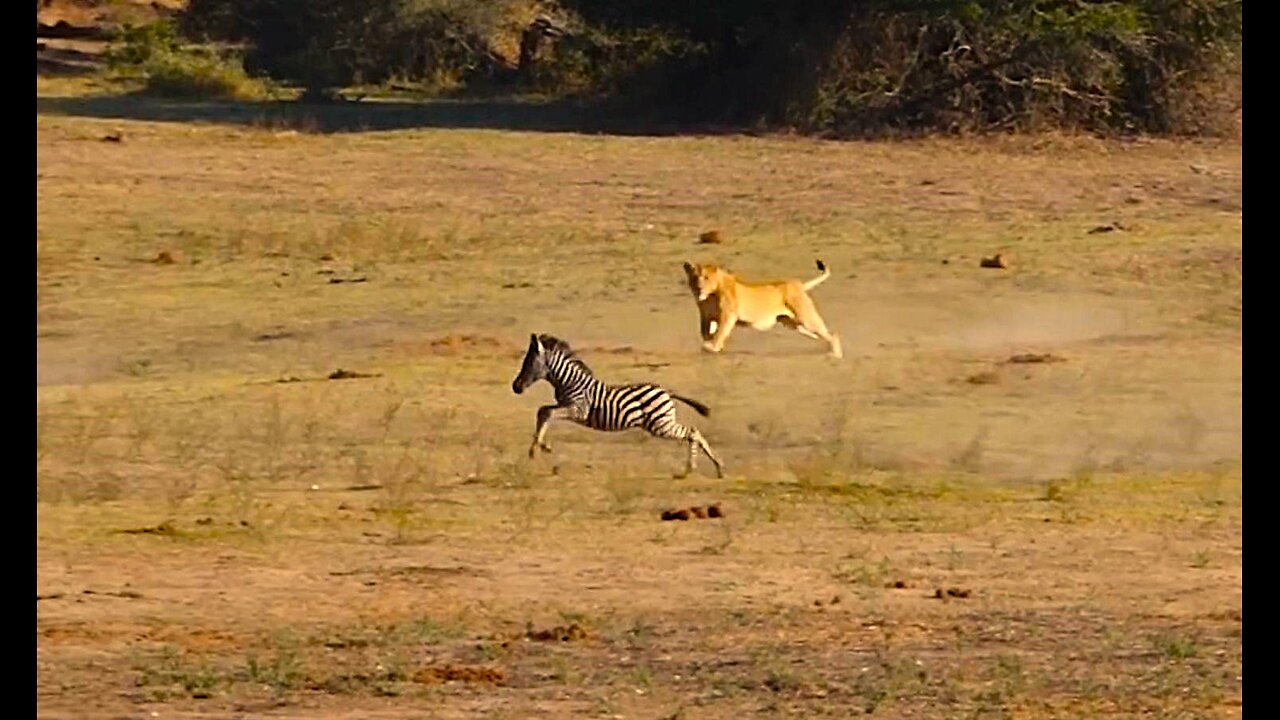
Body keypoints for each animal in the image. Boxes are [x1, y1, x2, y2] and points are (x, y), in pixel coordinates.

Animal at [511, 333, 725, 478]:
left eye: (529, 363)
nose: (516, 387)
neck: (569, 381)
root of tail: (666, 391)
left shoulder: (578, 409)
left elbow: (546, 412)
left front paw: (540, 447)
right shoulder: (563, 404)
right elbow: (543, 411)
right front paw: (540, 447)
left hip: (660, 424)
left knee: (692, 432)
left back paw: (692, 469)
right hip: (659, 423)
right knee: (693, 432)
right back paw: (714, 468)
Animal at [681, 259, 843, 358]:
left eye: (706, 277)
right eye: (694, 278)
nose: (698, 288)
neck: (709, 297)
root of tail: (798, 284)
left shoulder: (728, 315)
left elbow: (720, 333)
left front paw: (712, 347)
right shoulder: (706, 317)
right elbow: (706, 332)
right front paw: (709, 346)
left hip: (806, 318)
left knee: (833, 334)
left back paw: (835, 355)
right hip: (794, 324)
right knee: (820, 335)